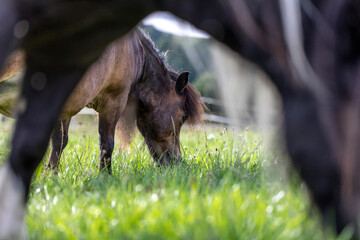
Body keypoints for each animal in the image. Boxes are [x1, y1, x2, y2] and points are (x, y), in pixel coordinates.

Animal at [0, 28, 205, 173]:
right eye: (183, 117)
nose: (177, 161)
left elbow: (59, 141)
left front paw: (51, 174)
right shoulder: (113, 102)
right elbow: (106, 143)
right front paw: (105, 176)